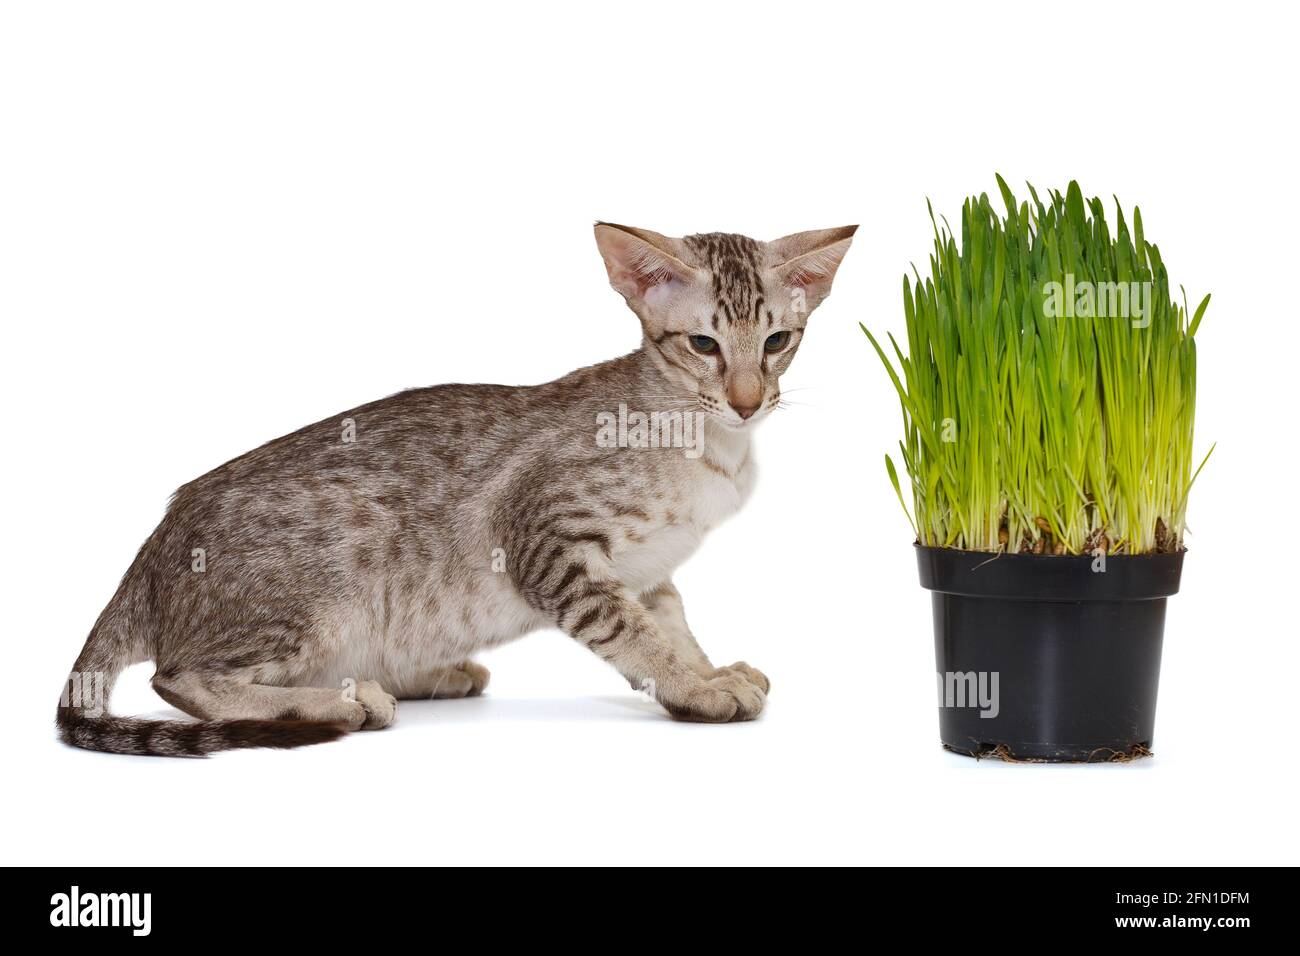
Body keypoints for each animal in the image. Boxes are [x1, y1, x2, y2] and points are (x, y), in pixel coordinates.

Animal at [58, 223, 852, 754]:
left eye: (777, 342)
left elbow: (671, 628)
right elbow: (634, 636)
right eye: (704, 345)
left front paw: (707, 668)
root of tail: (154, 547)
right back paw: (343, 700)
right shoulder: (546, 541)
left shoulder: (648, 572)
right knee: (180, 677)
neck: (709, 445)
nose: (749, 402)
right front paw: (697, 689)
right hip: (320, 594)